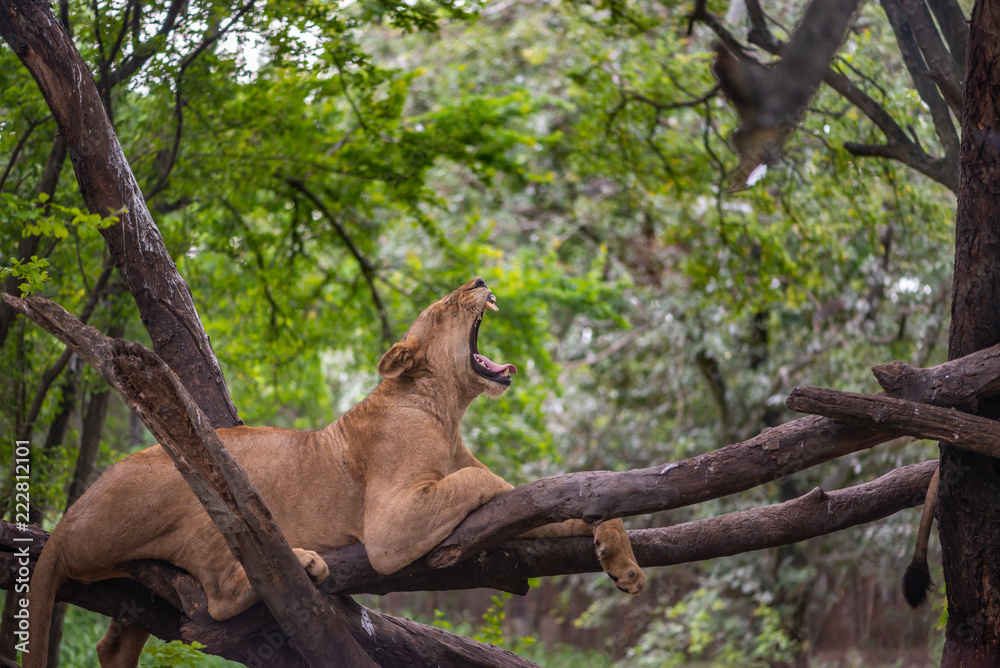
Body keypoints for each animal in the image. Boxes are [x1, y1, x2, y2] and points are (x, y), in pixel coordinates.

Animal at [24, 278, 645, 668]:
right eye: (444, 306)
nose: (477, 279)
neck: (445, 410)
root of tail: (68, 519)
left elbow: (552, 504)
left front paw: (622, 562)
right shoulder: (390, 525)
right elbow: (490, 485)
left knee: (115, 645)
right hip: (194, 482)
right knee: (216, 598)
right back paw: (304, 562)